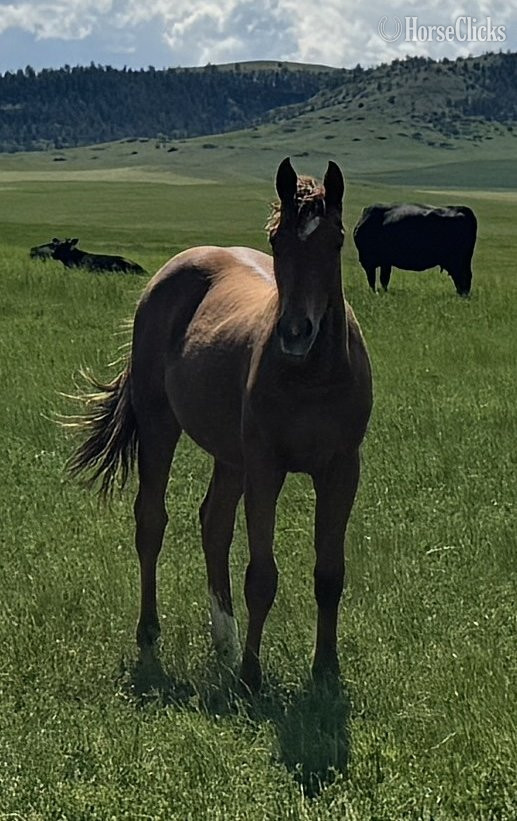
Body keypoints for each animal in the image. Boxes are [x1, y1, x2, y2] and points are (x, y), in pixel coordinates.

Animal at [67, 158, 373, 692]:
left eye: (335, 241)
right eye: (277, 241)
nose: (295, 333)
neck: (312, 374)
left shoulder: (341, 469)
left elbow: (330, 574)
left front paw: (325, 671)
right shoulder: (266, 468)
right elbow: (262, 576)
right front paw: (252, 674)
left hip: (231, 458)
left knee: (213, 524)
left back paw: (225, 643)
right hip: (162, 426)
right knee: (151, 522)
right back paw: (153, 638)